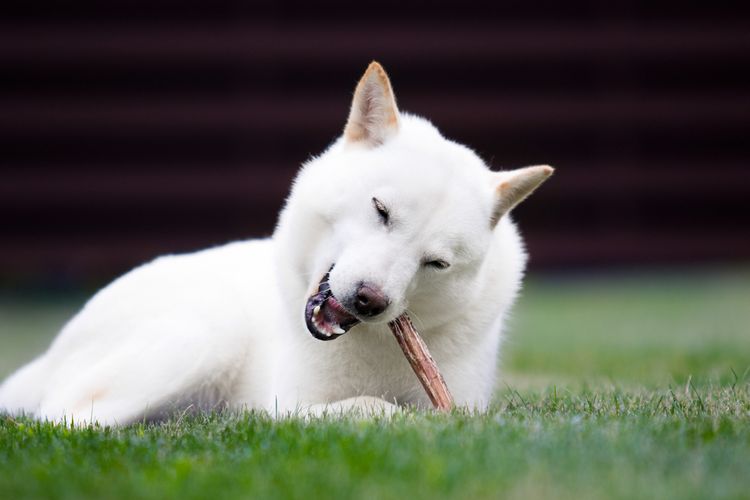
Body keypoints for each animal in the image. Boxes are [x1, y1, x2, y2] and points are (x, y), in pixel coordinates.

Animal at [0, 60, 552, 424]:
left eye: (436, 263)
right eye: (381, 210)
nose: (370, 301)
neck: (372, 345)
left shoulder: (462, 400)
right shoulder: (292, 405)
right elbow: (374, 408)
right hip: (204, 337)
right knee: (63, 417)